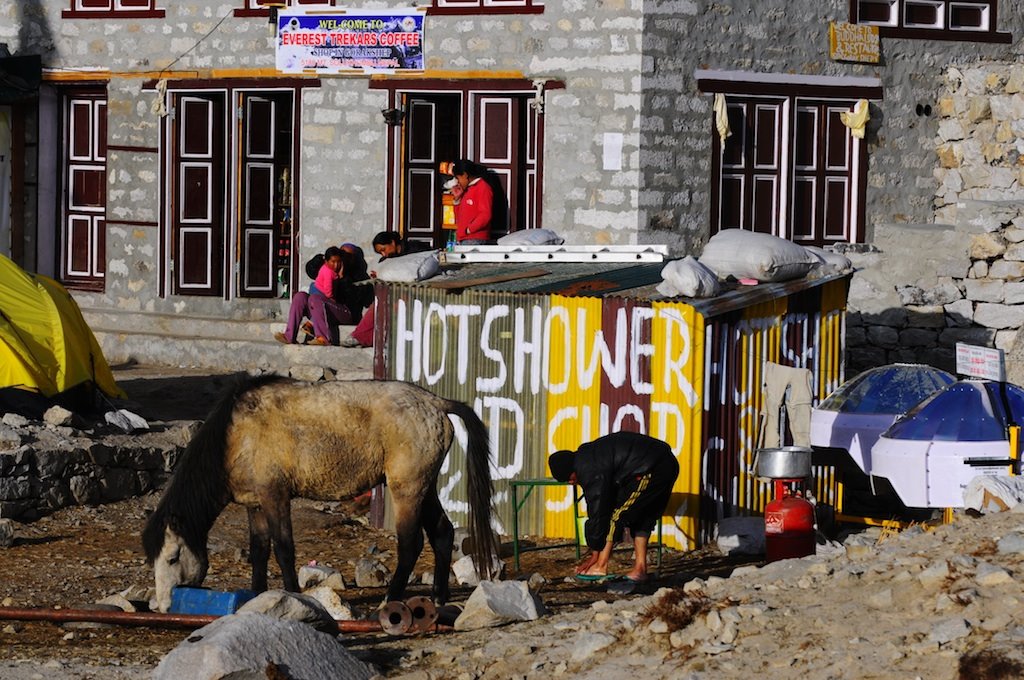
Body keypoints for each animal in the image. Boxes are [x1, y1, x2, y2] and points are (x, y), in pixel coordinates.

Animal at [142, 374, 497, 614]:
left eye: (173, 557)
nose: (164, 606)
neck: (233, 435)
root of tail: (435, 403)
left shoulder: (275, 496)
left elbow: (283, 548)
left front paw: (291, 595)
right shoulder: (254, 504)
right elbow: (259, 550)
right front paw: (257, 596)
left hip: (406, 490)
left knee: (411, 544)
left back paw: (391, 599)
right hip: (423, 486)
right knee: (442, 532)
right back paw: (438, 596)